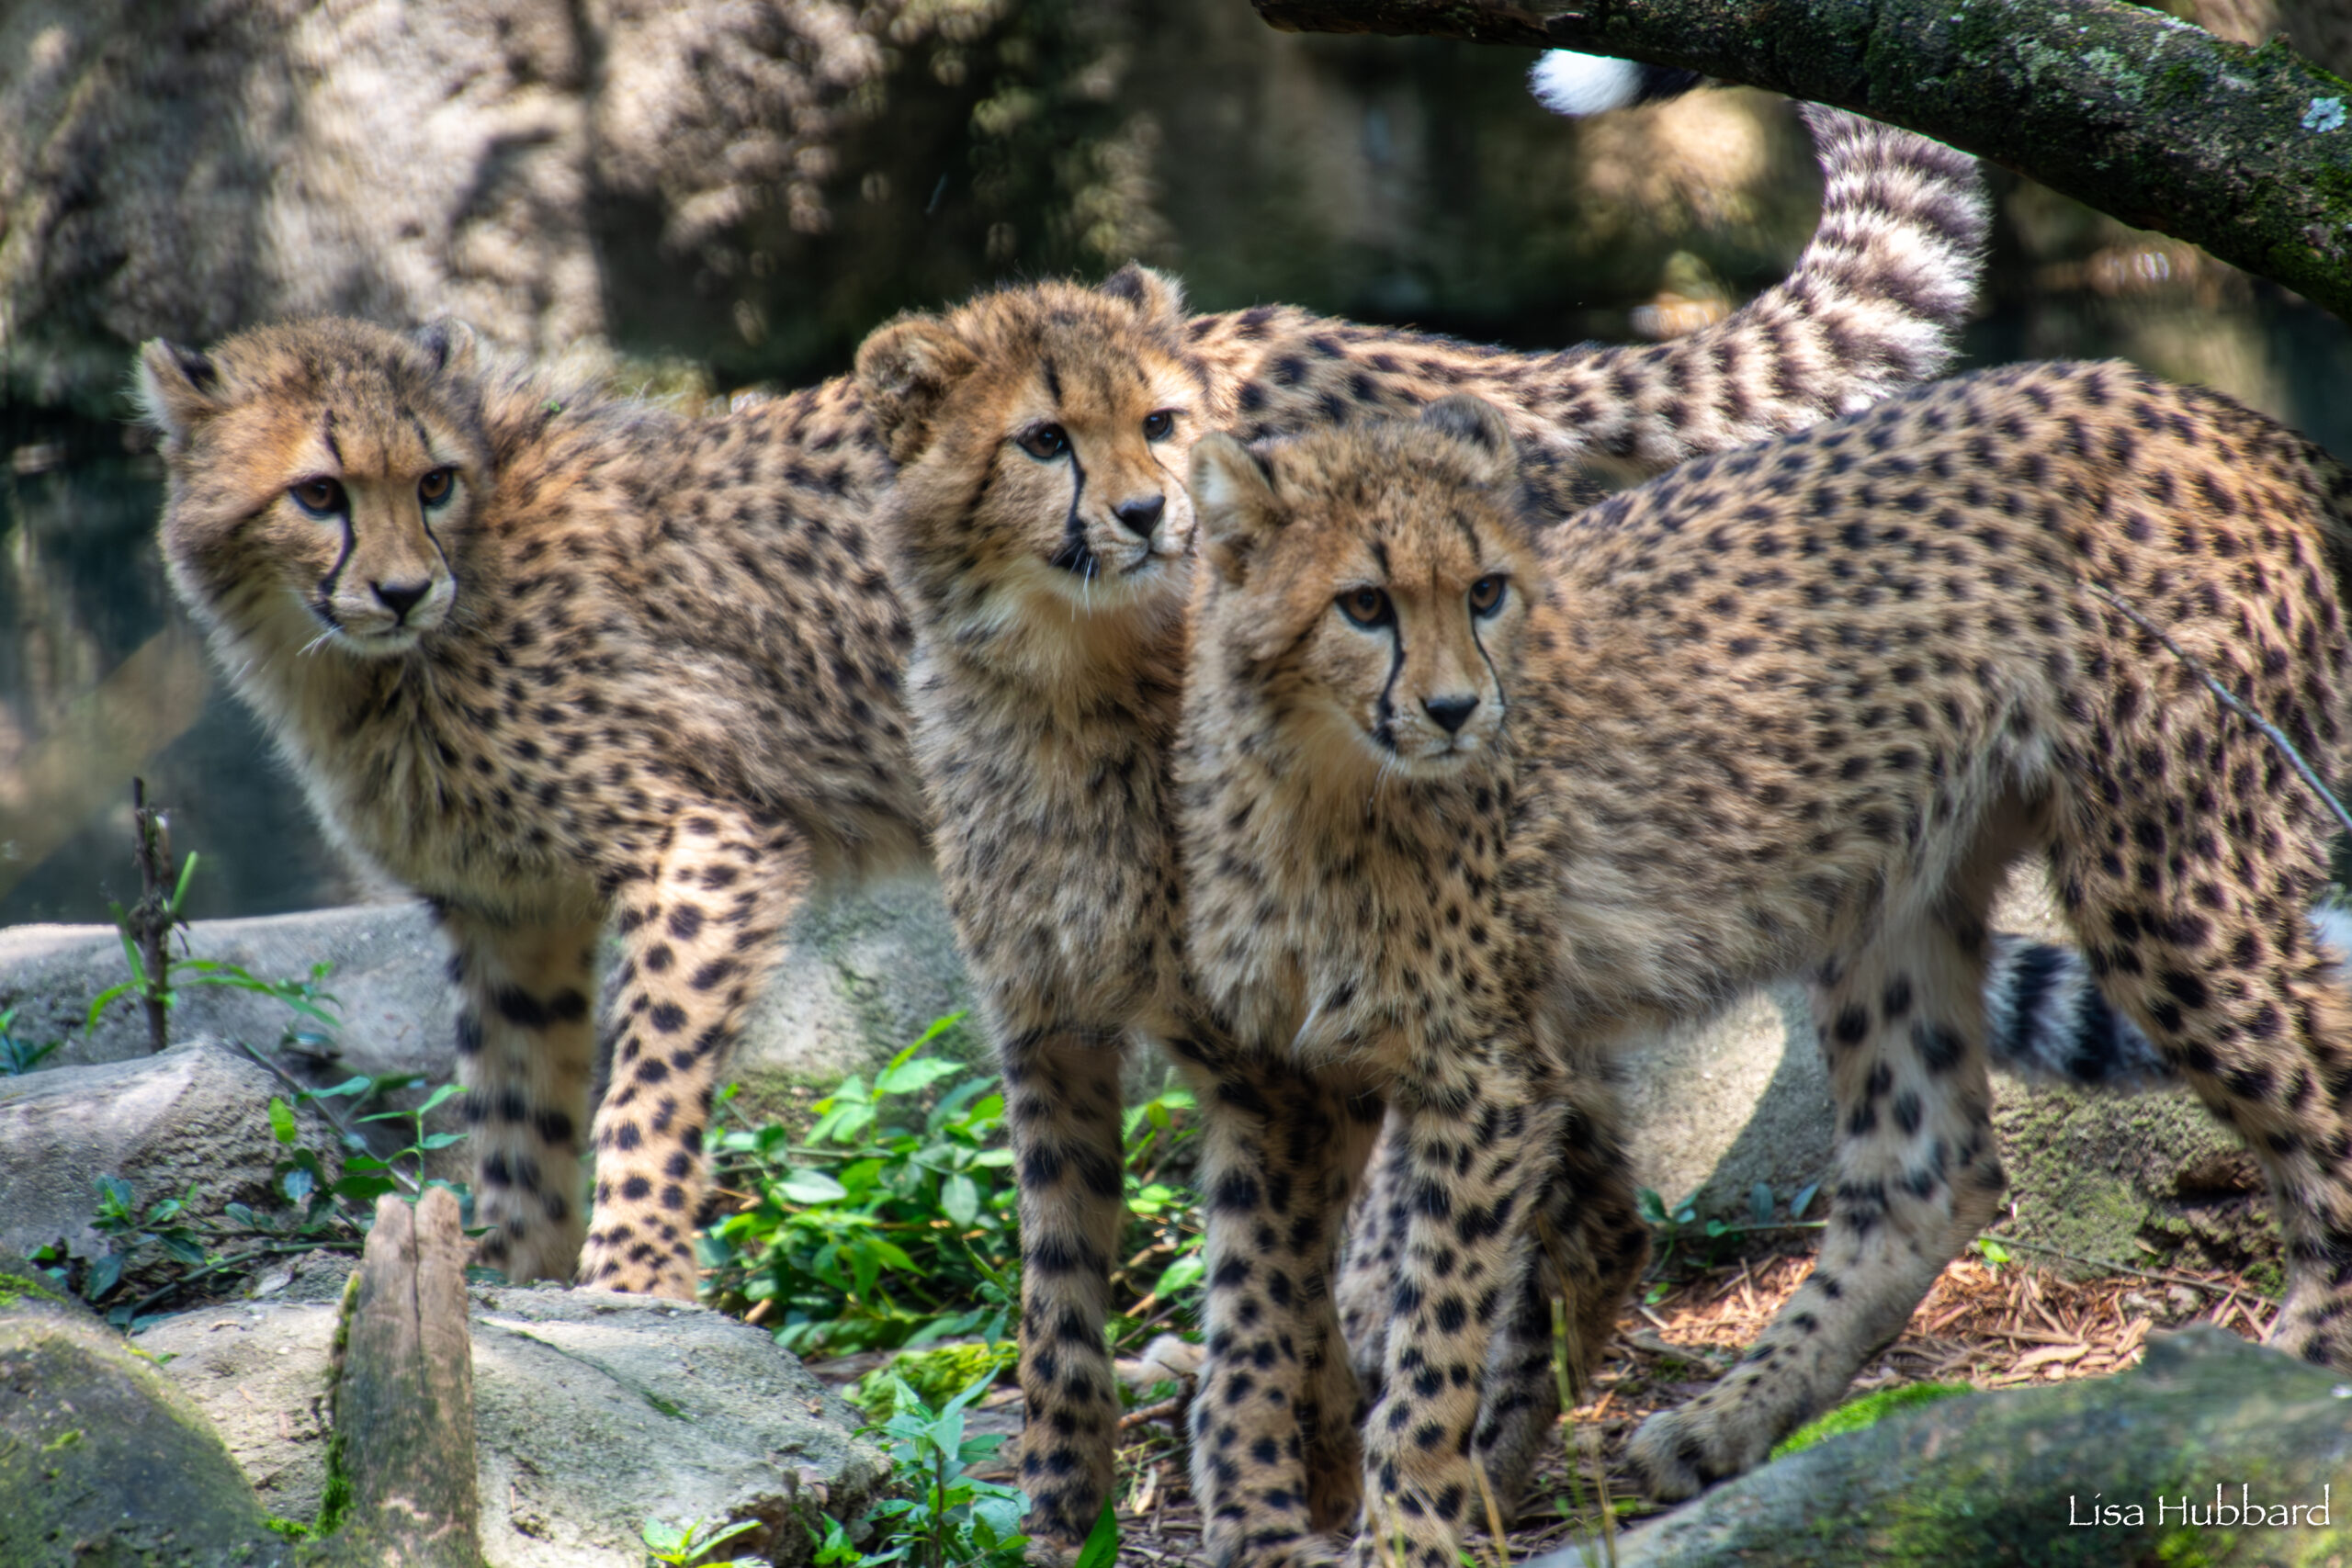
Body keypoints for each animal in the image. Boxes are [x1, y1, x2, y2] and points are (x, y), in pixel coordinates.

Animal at [135, 316, 923, 1301]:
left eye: (434, 482)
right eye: (318, 493)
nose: (404, 592)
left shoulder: (709, 843)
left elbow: (649, 1075)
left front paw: (634, 1273)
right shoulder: (511, 905)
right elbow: (515, 1100)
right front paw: (513, 1271)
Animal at [849, 102, 2182, 1563]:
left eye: (1159, 421)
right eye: (1044, 440)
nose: (1151, 511)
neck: (1066, 684)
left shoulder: (1282, 1059)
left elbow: (1268, 1293)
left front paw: (1270, 1493)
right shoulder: (1053, 1033)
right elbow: (1057, 1288)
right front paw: (1060, 1504)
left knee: (1569, 1216)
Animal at [1176, 367, 2352, 1567]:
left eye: (1485, 592)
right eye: (1363, 604)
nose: (1458, 709)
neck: (1322, 781)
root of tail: (2223, 416)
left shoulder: (1481, 1077)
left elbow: (1439, 1327)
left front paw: (1411, 1523)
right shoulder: (1294, 1078)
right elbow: (1257, 1307)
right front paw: (1266, 1508)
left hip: (2167, 870)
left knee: (2322, 1087)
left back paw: (2283, 1388)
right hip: (1894, 888)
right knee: (1927, 1170)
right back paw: (1726, 1421)